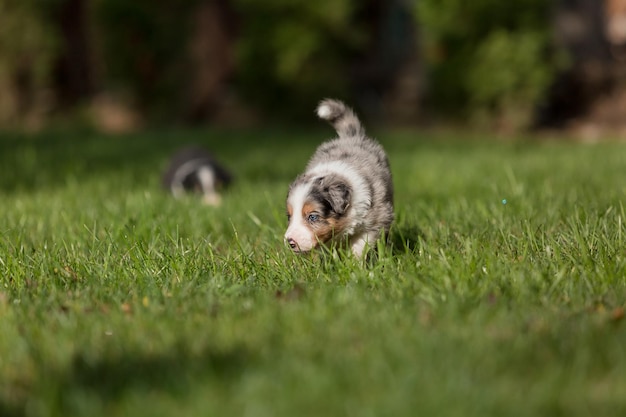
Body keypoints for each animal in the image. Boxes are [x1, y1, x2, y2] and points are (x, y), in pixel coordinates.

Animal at [284, 99, 392, 255]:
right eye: (289, 216)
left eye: (313, 216)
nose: (290, 242)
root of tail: (351, 136)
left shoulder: (373, 221)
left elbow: (360, 245)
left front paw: (355, 261)